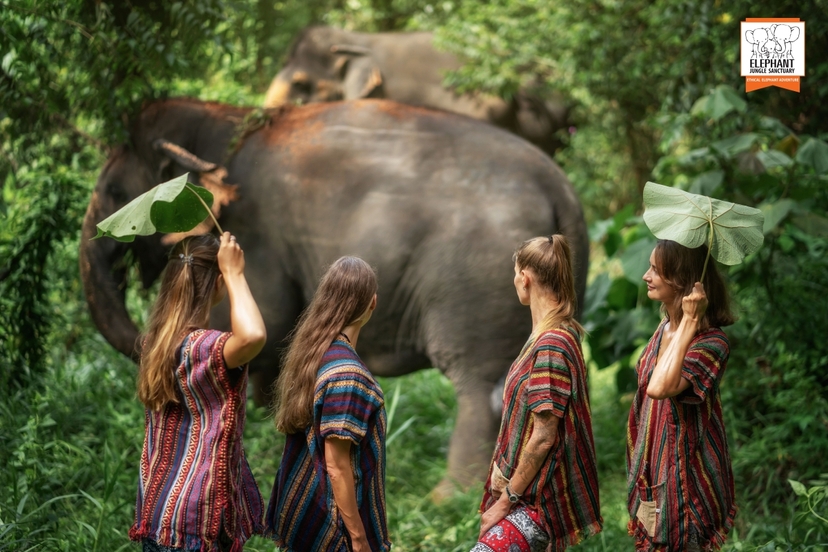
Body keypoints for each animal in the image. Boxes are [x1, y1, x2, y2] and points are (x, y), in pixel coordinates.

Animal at [80, 97, 589, 498]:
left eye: (117, 191)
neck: (227, 122)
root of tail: (562, 186)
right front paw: (270, 425)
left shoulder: (257, 235)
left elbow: (262, 319)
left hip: (476, 281)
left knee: (483, 388)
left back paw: (448, 497)